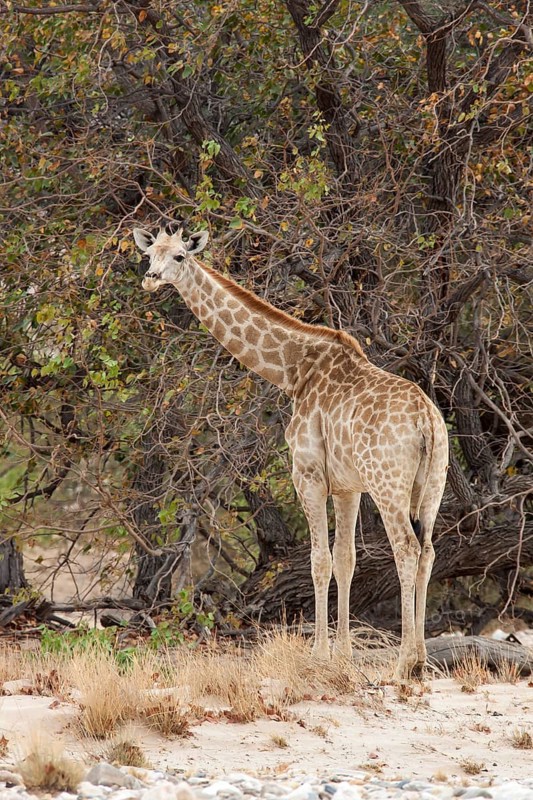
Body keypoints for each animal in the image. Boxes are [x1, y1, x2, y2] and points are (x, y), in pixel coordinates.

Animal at [133, 225, 449, 681]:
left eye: (179, 256)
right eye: (149, 255)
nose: (151, 279)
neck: (293, 372)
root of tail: (427, 420)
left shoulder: (308, 474)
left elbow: (319, 559)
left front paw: (318, 655)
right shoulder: (348, 486)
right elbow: (345, 559)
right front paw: (343, 655)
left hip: (388, 484)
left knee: (406, 549)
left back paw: (405, 662)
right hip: (432, 483)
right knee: (427, 551)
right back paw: (421, 660)